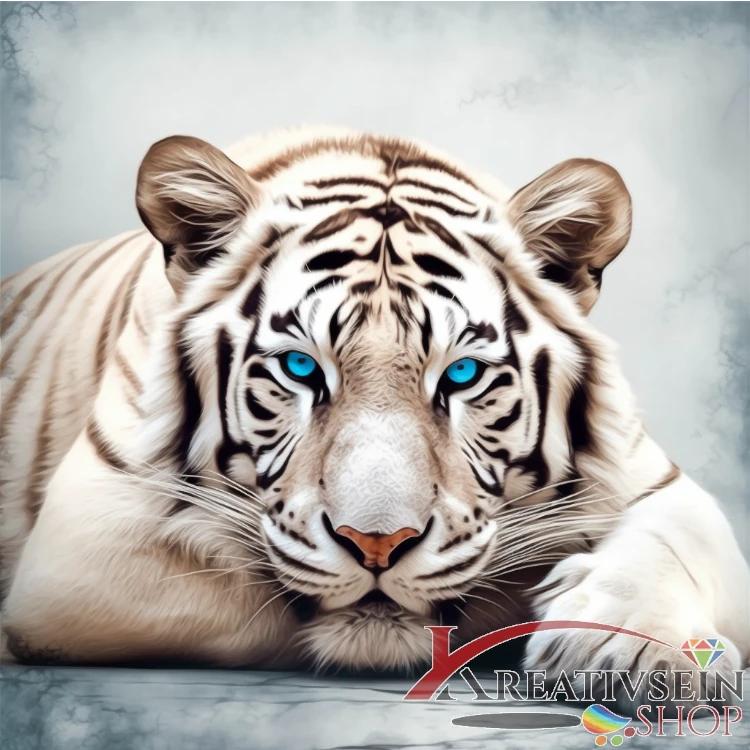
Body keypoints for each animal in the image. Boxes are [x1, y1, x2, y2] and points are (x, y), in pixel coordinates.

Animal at [1, 126, 748, 705]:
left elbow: (673, 541)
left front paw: (636, 654)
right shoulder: (83, 542)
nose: (378, 544)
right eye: (300, 368)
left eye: (462, 375)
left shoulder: (659, 480)